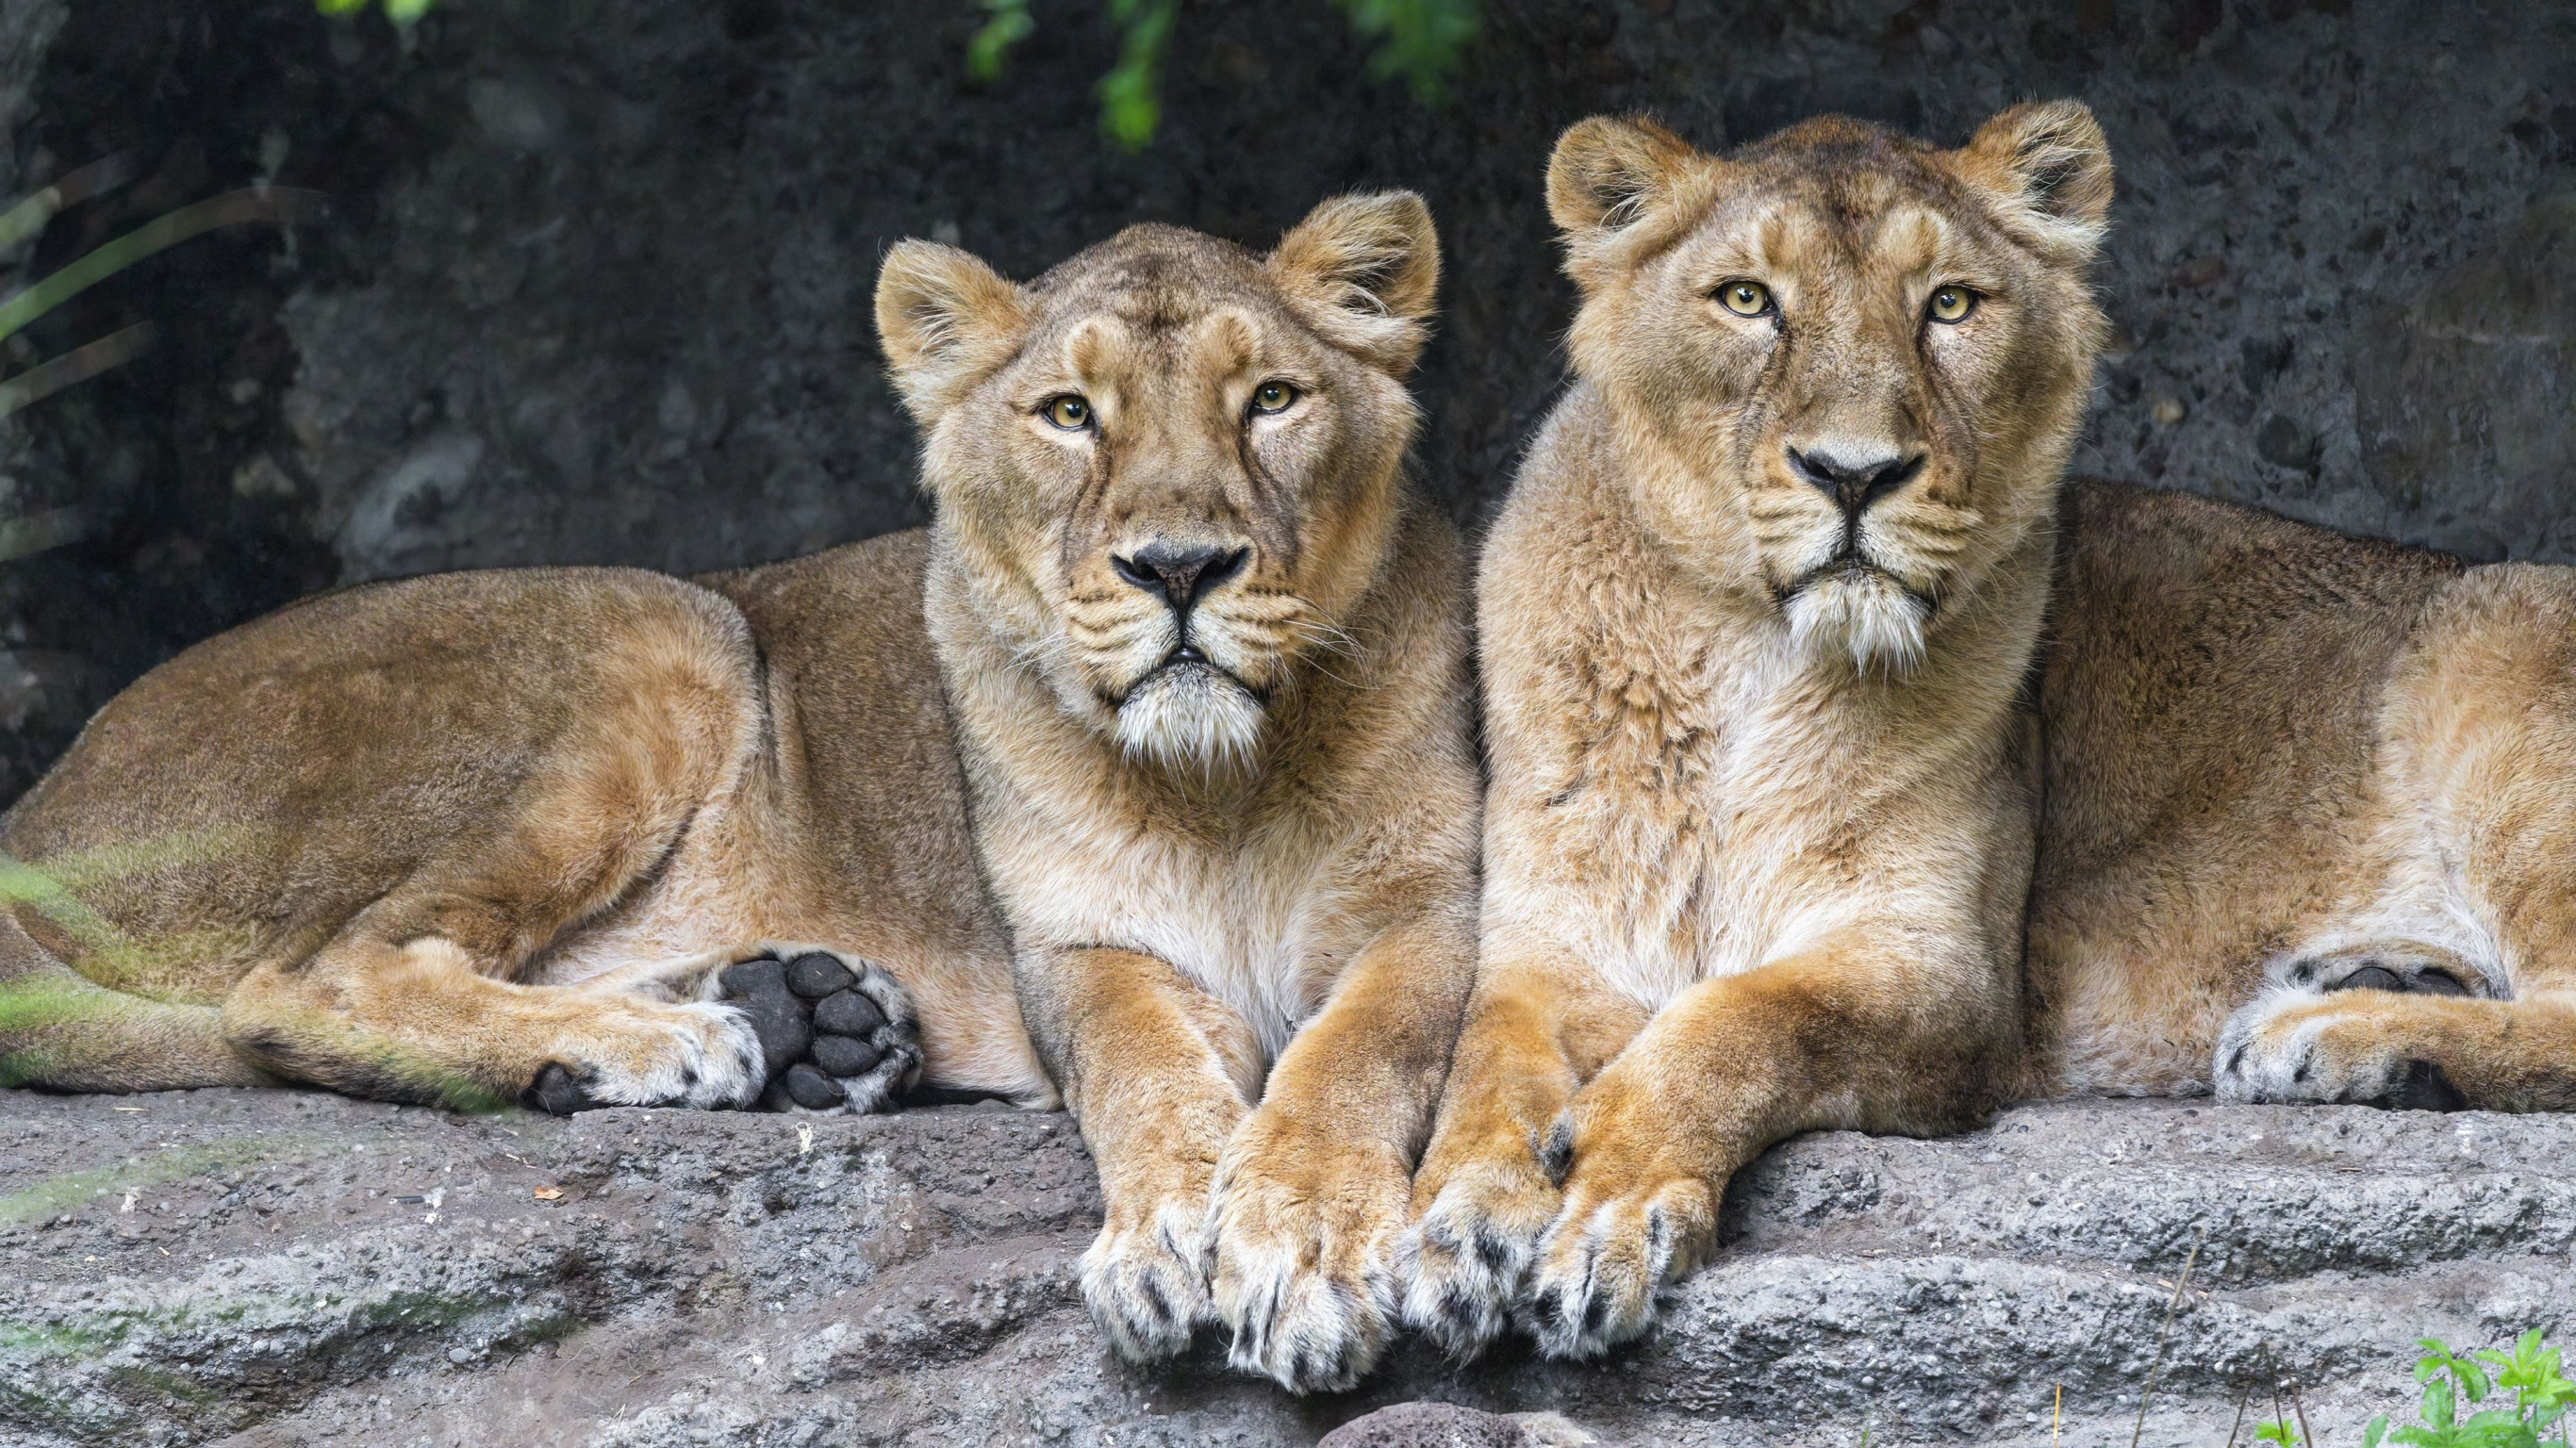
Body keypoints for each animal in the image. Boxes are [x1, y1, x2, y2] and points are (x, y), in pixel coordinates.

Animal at [0, 195, 1479, 1395]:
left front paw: (1295, 1244)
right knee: (310, 981)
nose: (1179, 567)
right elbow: (1148, 1080)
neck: (1226, 783)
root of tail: (38, 802)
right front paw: (1177, 1231)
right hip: (669, 624)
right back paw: (679, 1041)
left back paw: (803, 1019)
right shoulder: (1078, 953)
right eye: (1070, 415)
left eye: (1271, 399)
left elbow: (1354, 1059)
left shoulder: (1436, 918)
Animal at [1400, 100, 2576, 1363]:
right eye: (1746, 300)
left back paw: (2317, 1036)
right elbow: (1484, 1065)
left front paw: (1608, 1198)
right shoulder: (1549, 948)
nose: (1852, 474)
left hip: (2488, 646)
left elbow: (1743, 1022)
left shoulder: (1941, 971)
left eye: (1950, 305)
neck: (1740, 663)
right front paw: (1463, 1223)